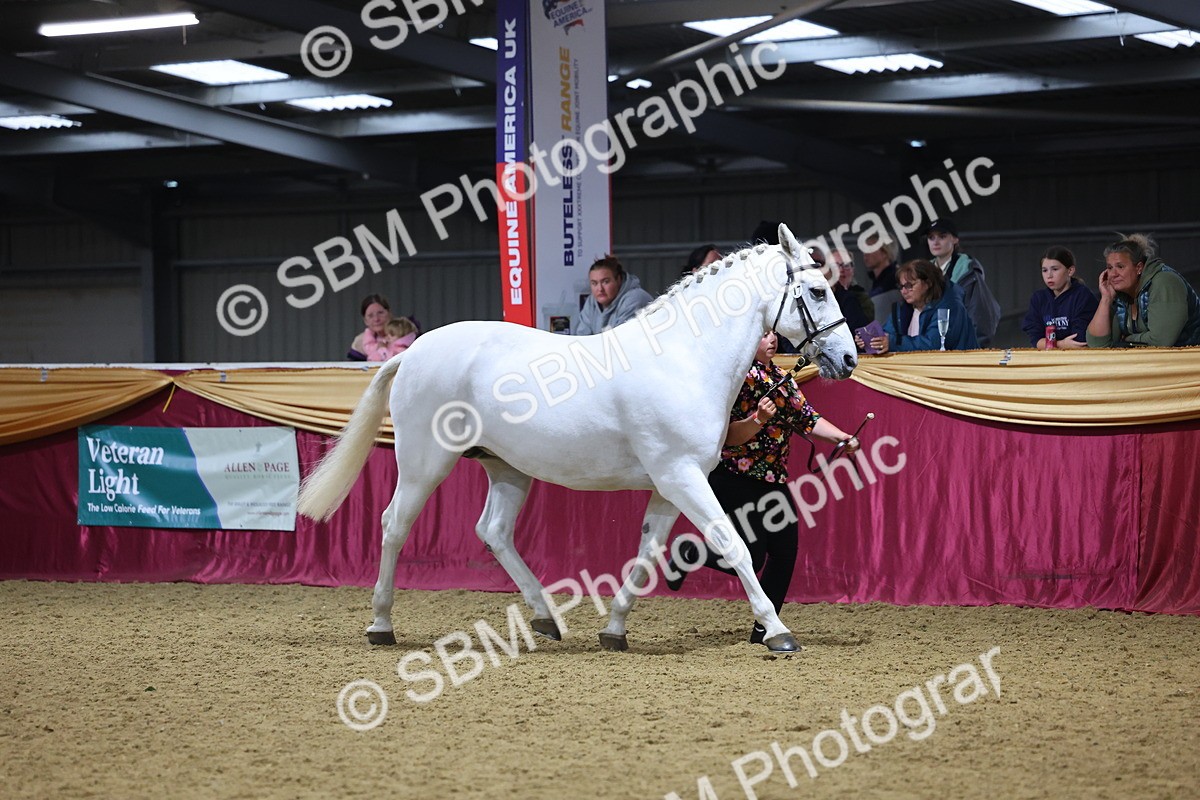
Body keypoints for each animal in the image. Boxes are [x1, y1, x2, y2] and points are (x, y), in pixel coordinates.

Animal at [298, 222, 857, 653]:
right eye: (816, 291)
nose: (848, 359)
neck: (683, 358)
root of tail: (412, 351)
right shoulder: (682, 478)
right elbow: (733, 544)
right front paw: (778, 632)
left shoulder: (671, 484)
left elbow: (647, 554)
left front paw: (614, 630)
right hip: (423, 463)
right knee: (395, 525)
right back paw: (381, 624)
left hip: (506, 467)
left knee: (493, 531)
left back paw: (545, 618)